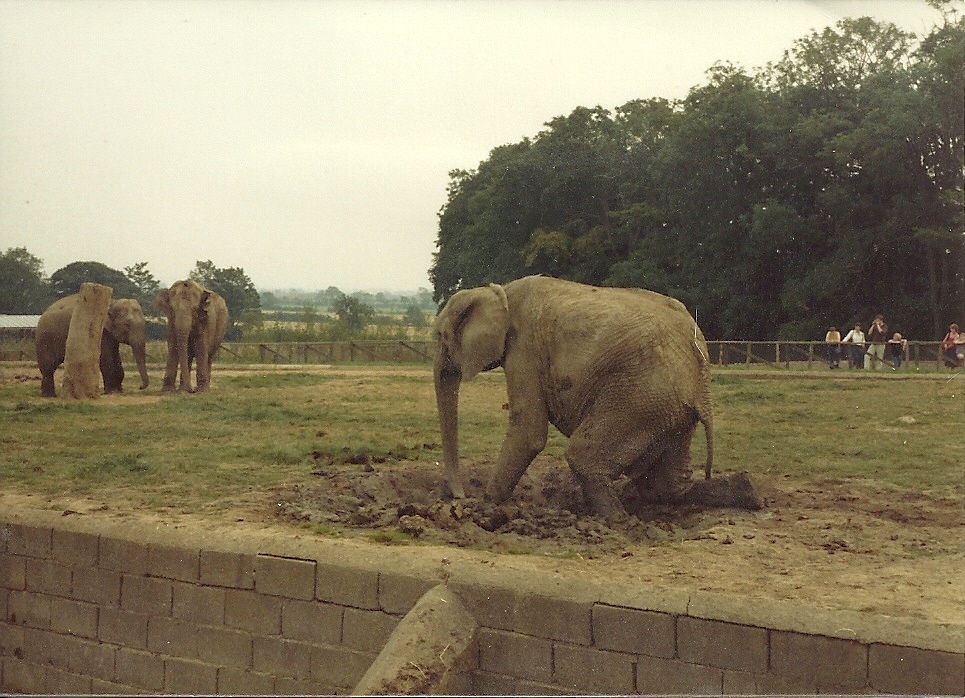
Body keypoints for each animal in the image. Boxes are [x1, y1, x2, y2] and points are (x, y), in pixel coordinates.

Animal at [434, 275, 761, 521]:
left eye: (441, 337)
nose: (458, 497)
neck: (499, 291)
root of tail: (700, 363)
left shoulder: (524, 348)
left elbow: (528, 431)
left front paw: (485, 507)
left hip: (638, 398)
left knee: (584, 457)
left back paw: (617, 521)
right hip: (670, 410)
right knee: (668, 484)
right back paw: (748, 491)